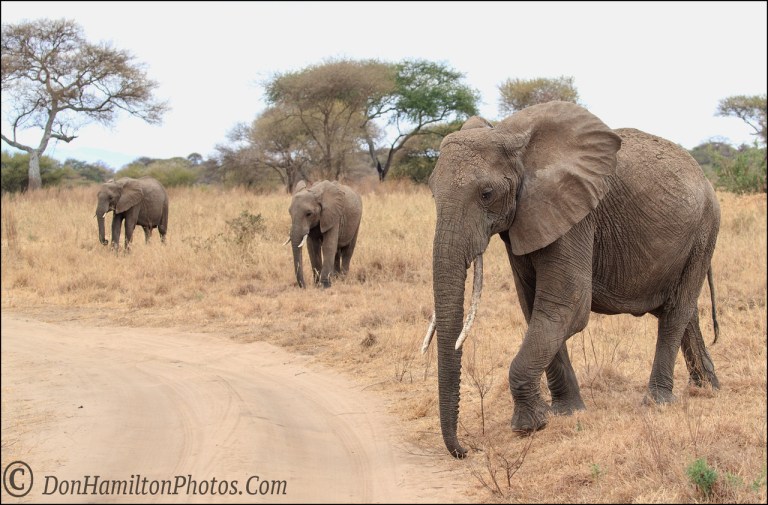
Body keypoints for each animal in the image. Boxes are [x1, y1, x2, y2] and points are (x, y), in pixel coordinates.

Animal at [421, 101, 720, 459]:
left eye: (486, 194)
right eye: (432, 193)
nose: (466, 450)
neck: (510, 136)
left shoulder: (575, 216)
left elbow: (567, 305)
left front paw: (528, 427)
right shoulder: (528, 218)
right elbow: (534, 307)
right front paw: (566, 412)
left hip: (705, 229)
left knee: (676, 313)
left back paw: (657, 401)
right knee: (685, 312)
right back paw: (707, 388)